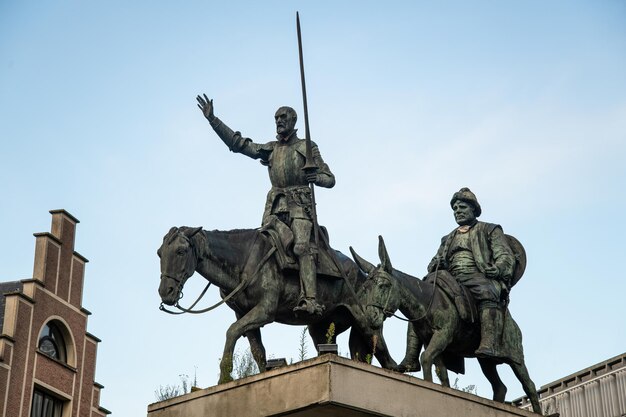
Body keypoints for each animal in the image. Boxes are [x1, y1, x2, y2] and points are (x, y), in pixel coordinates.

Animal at [158, 226, 398, 382]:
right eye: (159, 253)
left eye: (181, 251)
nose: (165, 292)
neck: (245, 260)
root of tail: (363, 274)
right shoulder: (244, 314)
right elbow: (257, 350)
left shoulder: (265, 311)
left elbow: (231, 331)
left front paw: (224, 376)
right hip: (321, 328)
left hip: (364, 319)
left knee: (382, 349)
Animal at [348, 234, 540, 412]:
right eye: (365, 288)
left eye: (383, 285)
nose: (371, 316)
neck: (429, 301)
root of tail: (514, 325)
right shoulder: (431, 342)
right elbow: (442, 372)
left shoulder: (442, 336)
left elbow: (426, 359)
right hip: (486, 361)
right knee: (500, 387)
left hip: (515, 356)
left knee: (529, 385)